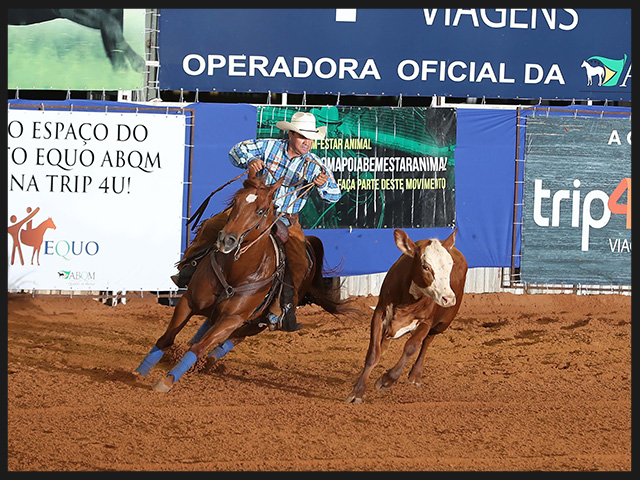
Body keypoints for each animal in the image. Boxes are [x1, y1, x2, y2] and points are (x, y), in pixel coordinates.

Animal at [134, 174, 344, 392]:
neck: (236, 272)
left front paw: (167, 381)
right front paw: (140, 372)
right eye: (235, 201)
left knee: (230, 340)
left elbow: (199, 347)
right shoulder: (188, 302)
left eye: (261, 210)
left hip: (256, 324)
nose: (226, 240)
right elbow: (167, 337)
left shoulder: (232, 319)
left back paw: (209, 362)